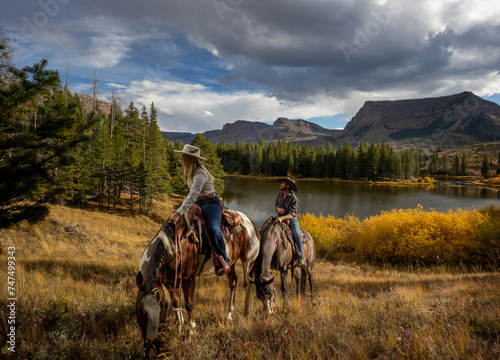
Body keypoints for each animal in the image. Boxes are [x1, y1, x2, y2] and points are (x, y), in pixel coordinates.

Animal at [137, 208, 262, 358]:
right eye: (141, 311)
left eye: (163, 307)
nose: (154, 343)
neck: (176, 246)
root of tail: (251, 223)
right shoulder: (169, 281)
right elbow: (176, 303)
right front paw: (179, 329)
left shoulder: (188, 279)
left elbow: (189, 305)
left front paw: (191, 333)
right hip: (230, 264)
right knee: (233, 283)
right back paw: (229, 314)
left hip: (248, 261)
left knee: (247, 284)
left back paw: (245, 313)